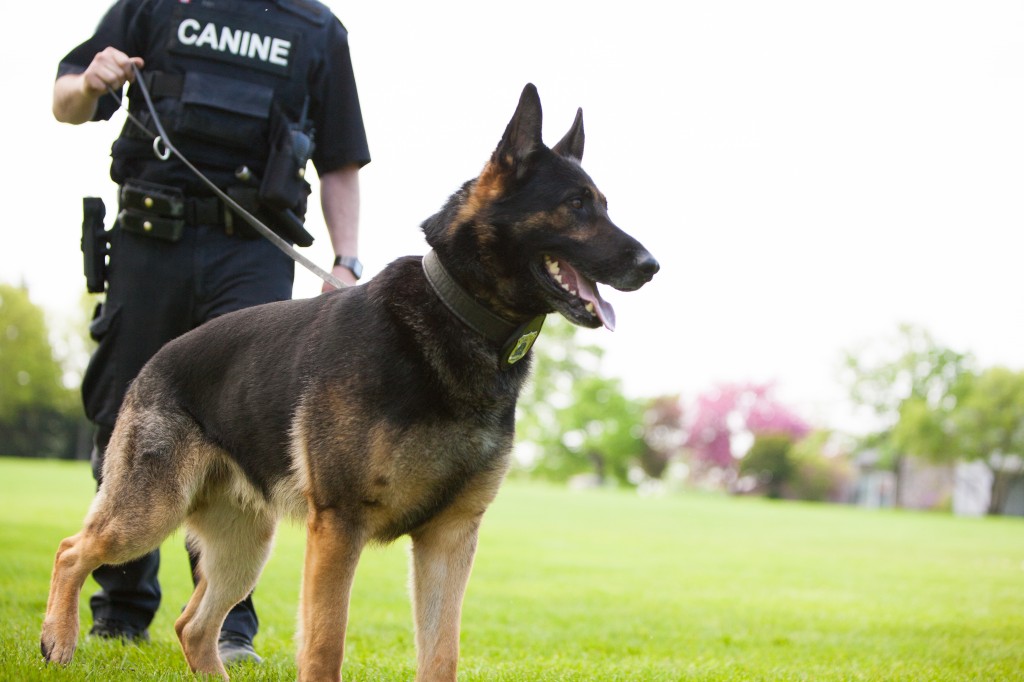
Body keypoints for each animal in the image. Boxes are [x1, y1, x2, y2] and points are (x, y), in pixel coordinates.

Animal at [41, 84, 655, 679]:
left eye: (603, 205)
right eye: (575, 206)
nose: (652, 266)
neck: (456, 314)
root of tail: (156, 360)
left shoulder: (449, 538)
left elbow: (441, 655)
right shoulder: (339, 525)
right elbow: (324, 646)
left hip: (245, 544)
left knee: (192, 625)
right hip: (147, 515)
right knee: (72, 551)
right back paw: (58, 641)